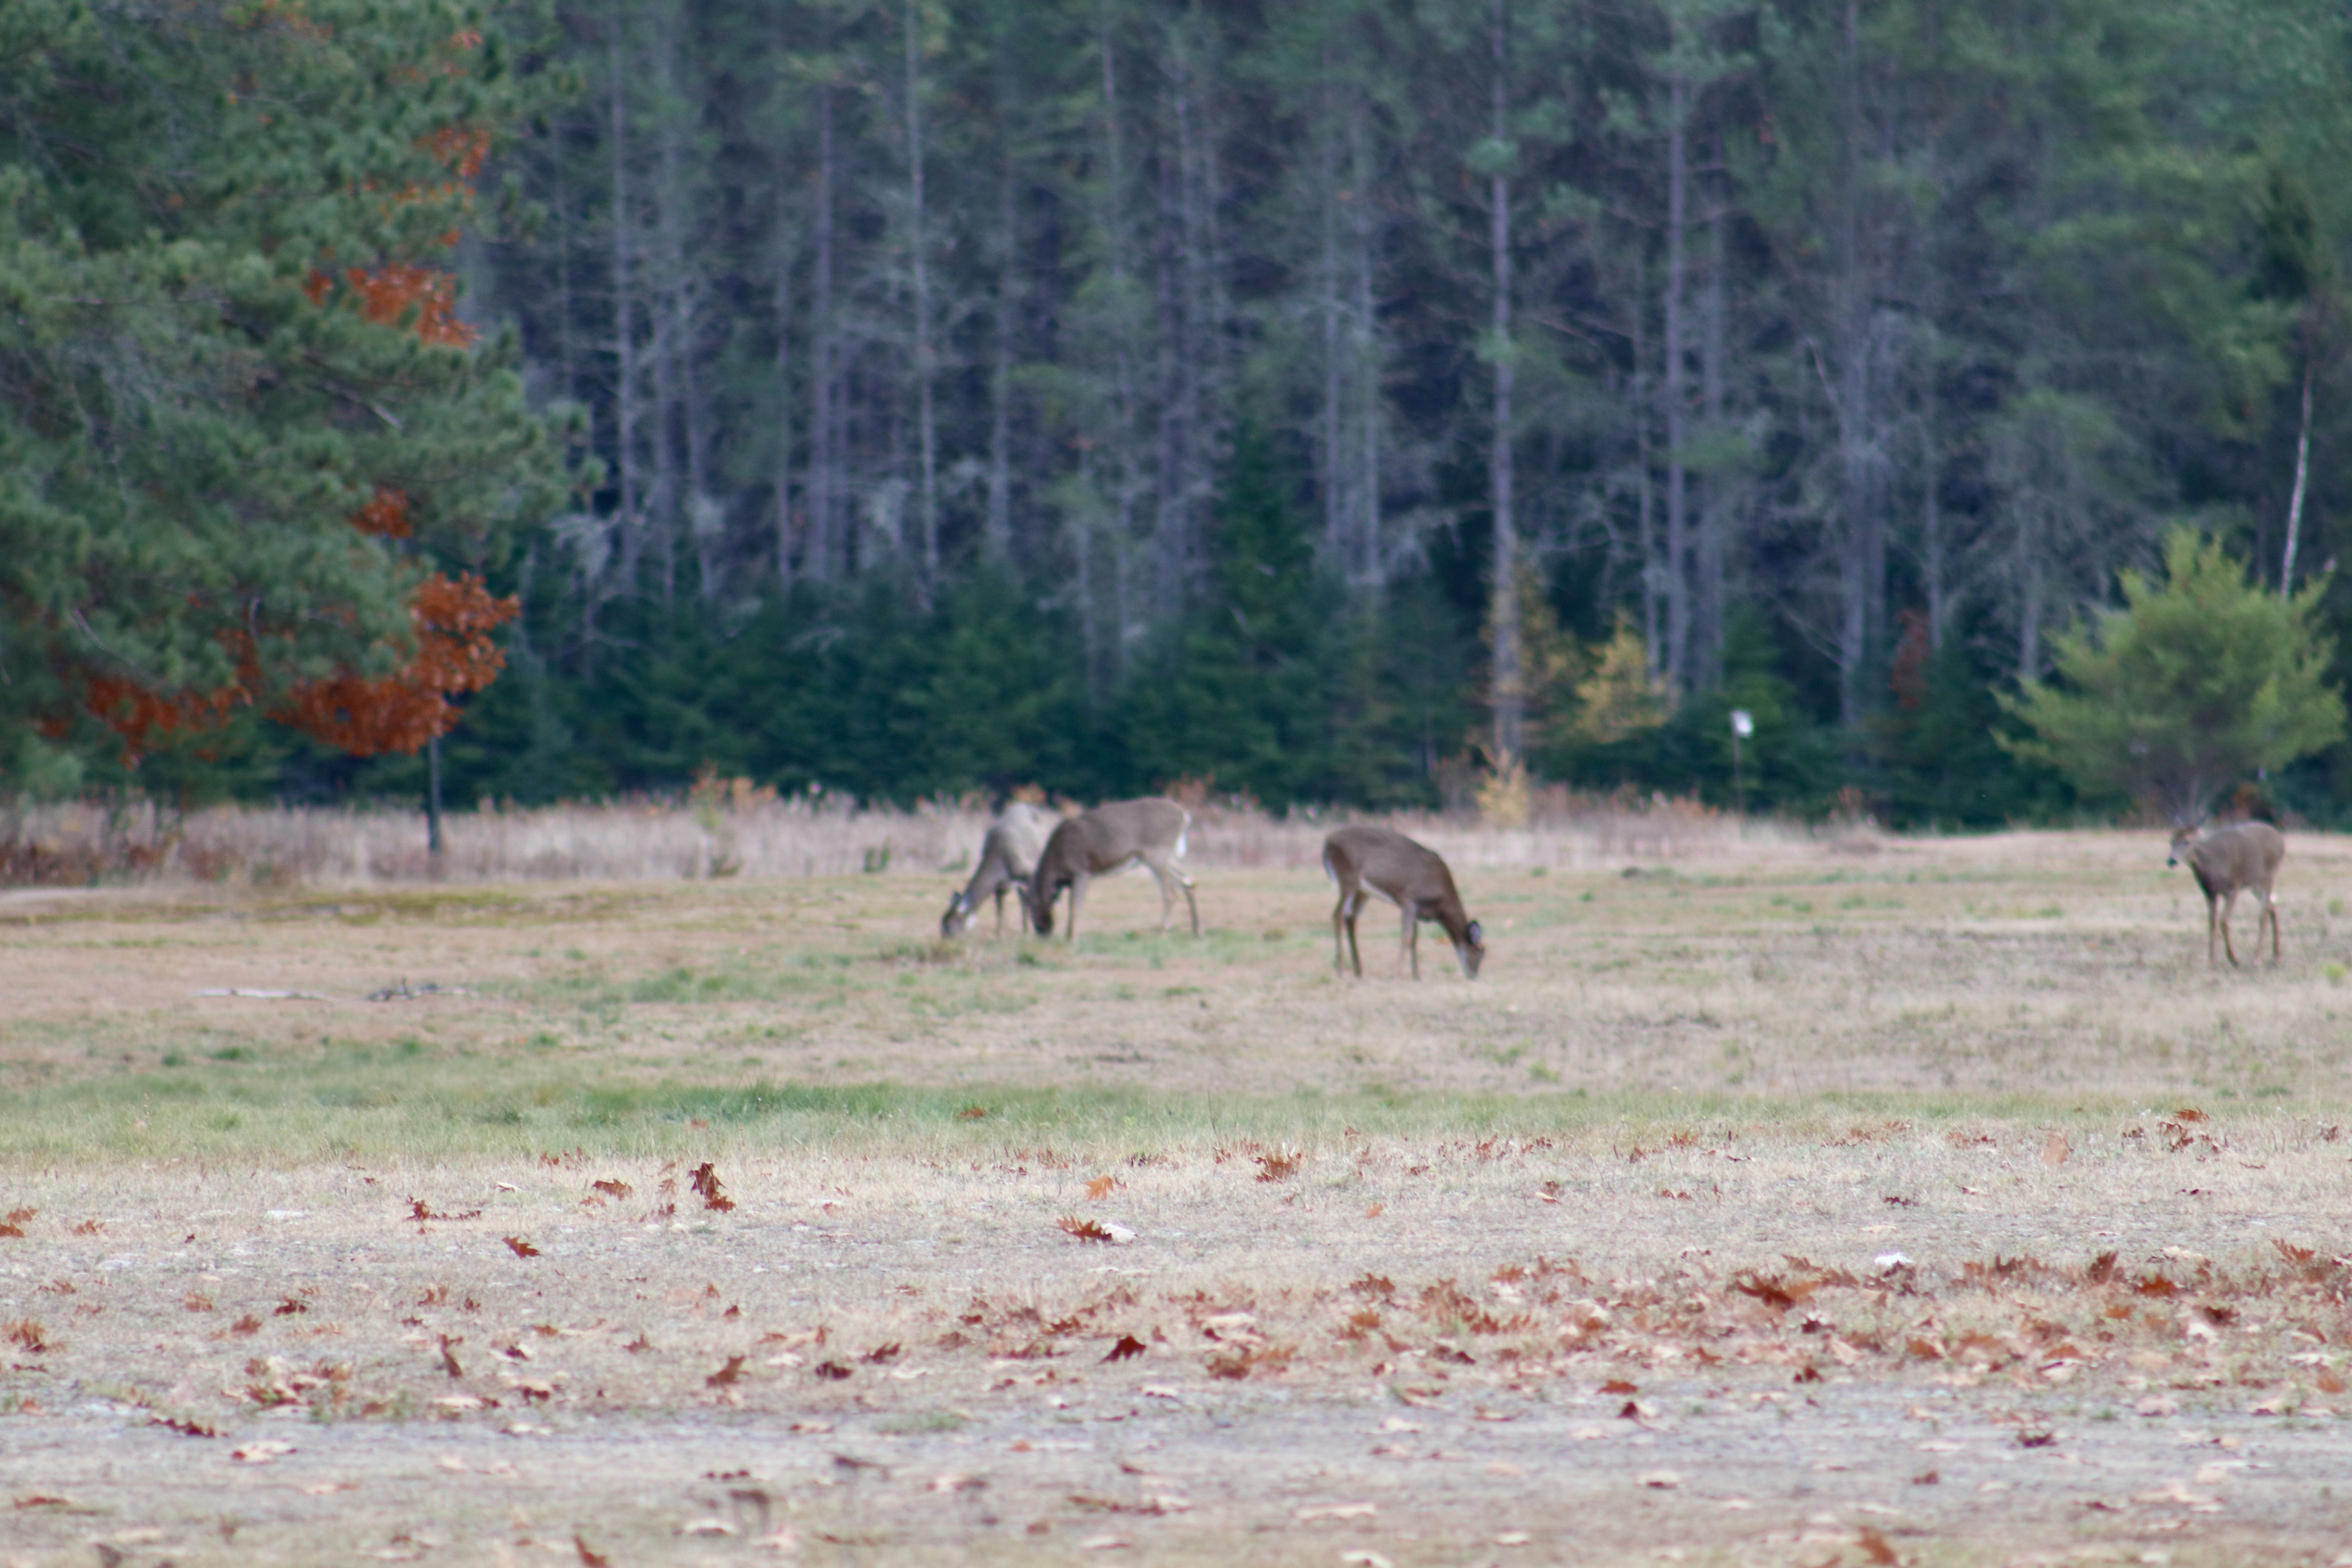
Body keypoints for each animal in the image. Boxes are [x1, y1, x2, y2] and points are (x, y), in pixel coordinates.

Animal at [941, 804, 1054, 940]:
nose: (943, 937)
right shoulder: (999, 887)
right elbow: (1000, 910)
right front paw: (998, 934)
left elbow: (1032, 900)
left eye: (950, 924)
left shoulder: (1028, 871)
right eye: (943, 920)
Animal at [1021, 804, 1195, 940]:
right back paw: (1196, 931)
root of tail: (1184, 815)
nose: (1043, 932)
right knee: (1187, 883)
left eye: (1033, 909)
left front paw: (1072, 939)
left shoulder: (1081, 871)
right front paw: (1068, 936)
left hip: (1157, 853)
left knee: (1170, 892)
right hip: (1161, 858)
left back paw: (1163, 933)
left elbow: (1075, 905)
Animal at [1327, 822, 1486, 982]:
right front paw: (1396, 975)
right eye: (1481, 954)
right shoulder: (1410, 900)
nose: (1474, 976)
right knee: (1337, 915)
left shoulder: (1416, 908)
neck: (1441, 903)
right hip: (1348, 879)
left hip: (1363, 891)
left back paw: (1358, 972)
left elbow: (1415, 938)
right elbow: (1407, 937)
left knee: (1351, 917)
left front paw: (1417, 976)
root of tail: (1327, 843)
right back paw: (1341, 971)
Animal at [2164, 822, 2277, 968]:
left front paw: (2234, 959)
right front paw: (2211, 961)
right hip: (2255, 884)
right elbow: (2212, 922)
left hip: (2269, 876)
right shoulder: (2210, 893)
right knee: (2272, 907)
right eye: (2171, 841)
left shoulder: (2233, 888)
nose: (2172, 861)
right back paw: (2276, 957)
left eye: (2186, 841)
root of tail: (2279, 837)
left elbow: (2224, 921)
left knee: (2264, 914)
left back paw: (2257, 959)